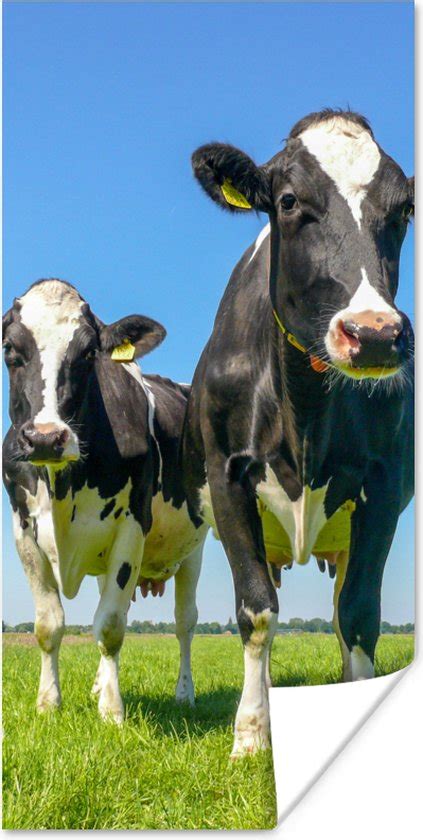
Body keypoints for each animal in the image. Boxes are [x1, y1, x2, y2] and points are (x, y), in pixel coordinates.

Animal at [3, 278, 208, 722]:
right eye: (10, 349)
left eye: (87, 353)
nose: (45, 437)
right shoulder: (23, 531)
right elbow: (49, 624)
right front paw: (49, 703)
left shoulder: (131, 527)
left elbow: (111, 624)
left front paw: (112, 711)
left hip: (194, 548)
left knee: (184, 622)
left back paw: (184, 693)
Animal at [182, 109, 414, 758]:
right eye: (288, 201)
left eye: (404, 210)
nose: (375, 334)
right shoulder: (228, 477)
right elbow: (257, 610)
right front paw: (250, 734)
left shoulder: (385, 486)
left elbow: (359, 613)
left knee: (339, 612)